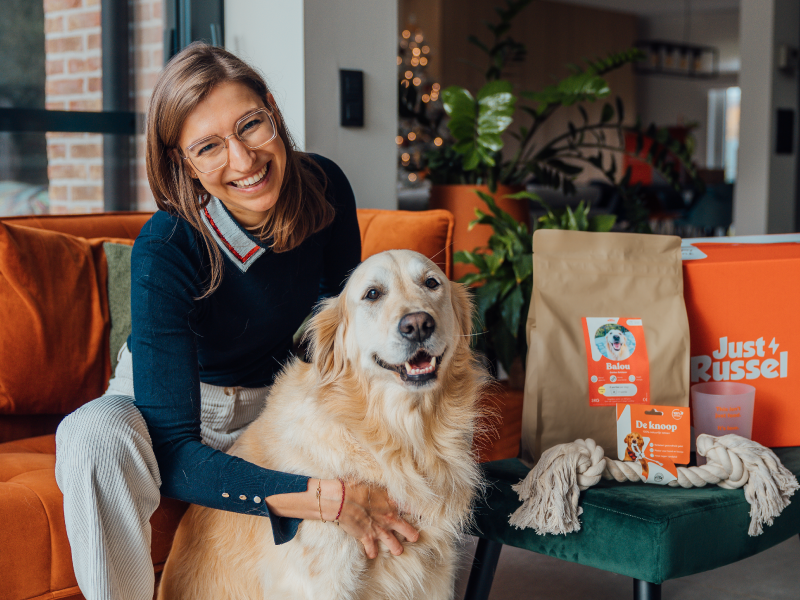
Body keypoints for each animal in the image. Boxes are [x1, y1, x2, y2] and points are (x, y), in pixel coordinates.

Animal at [159, 248, 490, 600]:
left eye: (431, 283)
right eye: (373, 294)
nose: (417, 325)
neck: (398, 437)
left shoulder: (435, 577)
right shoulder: (320, 582)